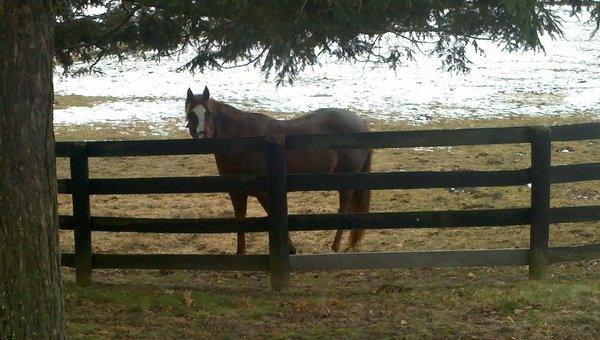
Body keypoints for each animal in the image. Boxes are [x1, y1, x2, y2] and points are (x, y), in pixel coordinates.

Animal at [185, 86, 370, 254]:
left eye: (209, 113)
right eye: (190, 114)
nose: (204, 140)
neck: (245, 141)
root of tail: (360, 122)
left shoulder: (264, 192)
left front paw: (290, 249)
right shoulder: (237, 192)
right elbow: (241, 219)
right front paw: (241, 253)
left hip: (346, 179)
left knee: (343, 210)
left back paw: (335, 247)